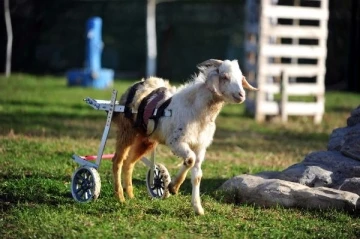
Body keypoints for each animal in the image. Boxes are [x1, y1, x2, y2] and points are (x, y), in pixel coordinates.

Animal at [112, 58, 256, 215]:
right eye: (224, 77)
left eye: (241, 78)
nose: (241, 95)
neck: (196, 111)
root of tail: (139, 83)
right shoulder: (176, 142)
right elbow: (190, 159)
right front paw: (173, 187)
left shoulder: (200, 147)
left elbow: (197, 175)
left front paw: (197, 208)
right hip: (126, 131)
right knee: (118, 161)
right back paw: (120, 197)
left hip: (146, 139)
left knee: (129, 162)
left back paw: (130, 195)